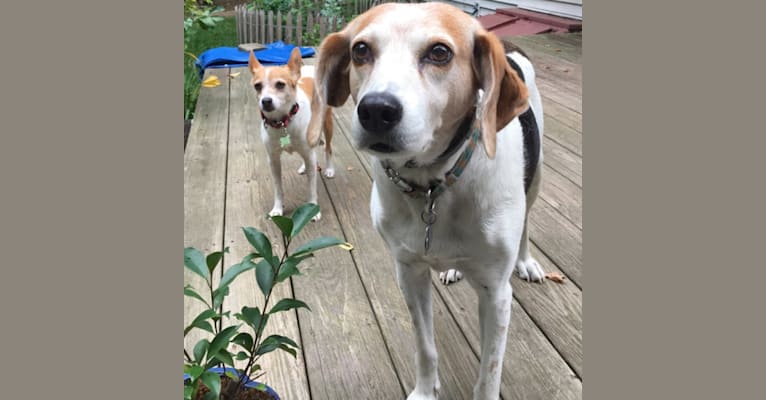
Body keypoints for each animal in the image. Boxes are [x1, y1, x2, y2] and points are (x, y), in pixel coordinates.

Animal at [249, 48, 336, 222]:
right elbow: (278, 188)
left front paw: (313, 210)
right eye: (257, 86)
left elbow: (311, 188)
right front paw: (277, 209)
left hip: (327, 123)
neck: (283, 122)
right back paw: (303, 167)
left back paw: (329, 169)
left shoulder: (309, 155)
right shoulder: (273, 161)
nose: (266, 101)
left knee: (328, 148)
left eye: (280, 84)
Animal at [316, 3, 548, 400]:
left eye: (439, 52)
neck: (432, 185)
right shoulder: (409, 272)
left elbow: (489, 374)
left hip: (535, 180)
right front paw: (424, 391)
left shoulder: (497, 295)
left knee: (528, 223)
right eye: (360, 50)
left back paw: (526, 261)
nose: (376, 110)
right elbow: (425, 347)